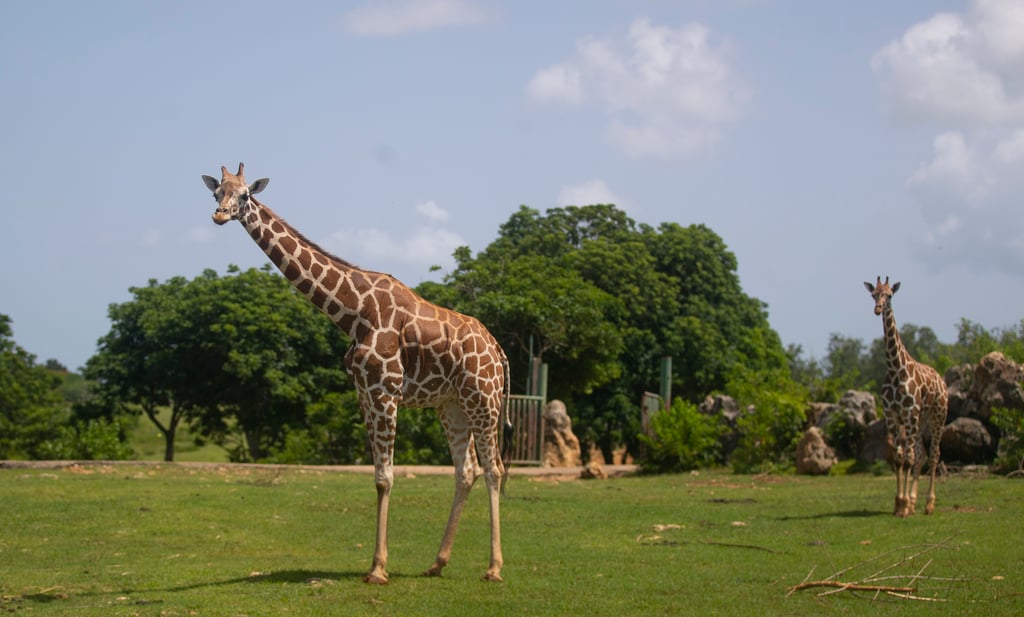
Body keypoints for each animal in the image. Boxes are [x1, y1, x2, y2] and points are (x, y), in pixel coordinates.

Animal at [203, 160, 512, 585]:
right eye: (217, 193)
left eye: (246, 193)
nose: (220, 215)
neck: (351, 313)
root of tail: (500, 352)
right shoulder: (364, 393)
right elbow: (377, 476)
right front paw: (375, 564)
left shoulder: (386, 390)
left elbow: (387, 476)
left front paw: (379, 569)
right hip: (451, 405)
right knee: (466, 471)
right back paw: (437, 562)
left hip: (484, 398)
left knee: (495, 468)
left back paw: (494, 568)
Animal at [860, 278, 946, 515]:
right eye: (874, 294)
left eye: (889, 295)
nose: (878, 308)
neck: (895, 369)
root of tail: (943, 381)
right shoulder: (892, 415)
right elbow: (899, 459)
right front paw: (900, 503)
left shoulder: (908, 413)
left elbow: (907, 459)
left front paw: (904, 506)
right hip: (921, 421)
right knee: (920, 454)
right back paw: (915, 501)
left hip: (937, 418)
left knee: (934, 454)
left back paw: (929, 504)